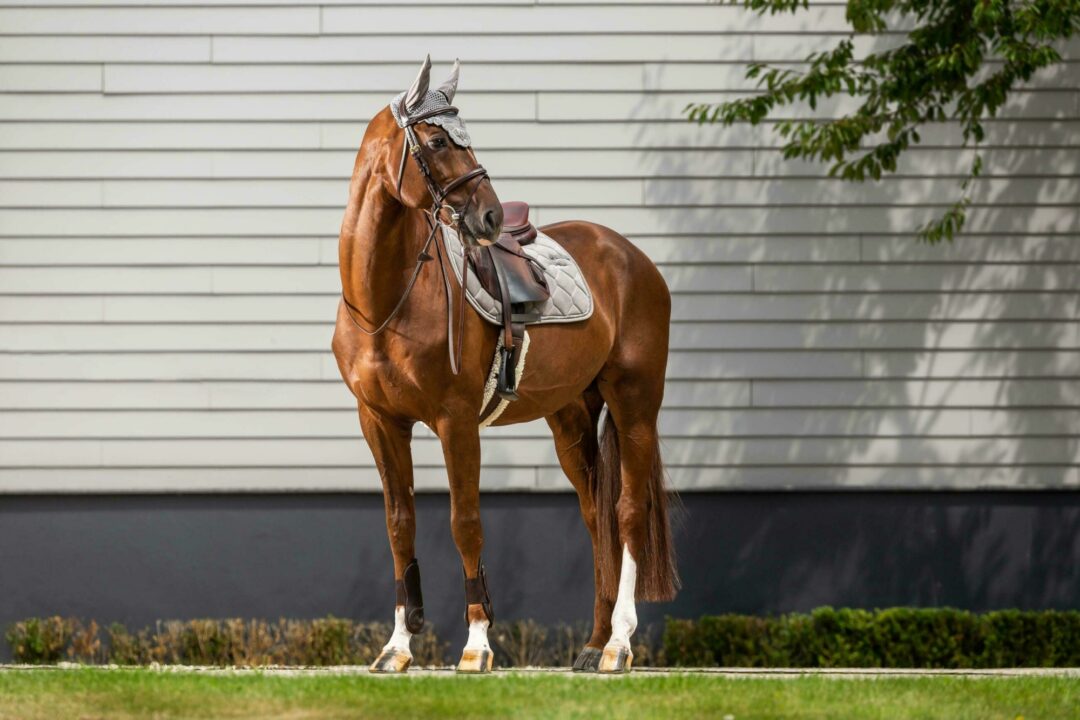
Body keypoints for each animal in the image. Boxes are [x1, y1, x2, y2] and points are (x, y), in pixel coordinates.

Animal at [332, 57, 678, 677]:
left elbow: (465, 522)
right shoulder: (379, 421)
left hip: (635, 404)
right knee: (597, 519)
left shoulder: (456, 421)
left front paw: (476, 646)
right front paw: (397, 648)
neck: (386, 301)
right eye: (438, 140)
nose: (491, 215)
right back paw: (592, 644)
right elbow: (400, 525)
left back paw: (617, 645)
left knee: (628, 512)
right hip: (572, 419)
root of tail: (631, 257)